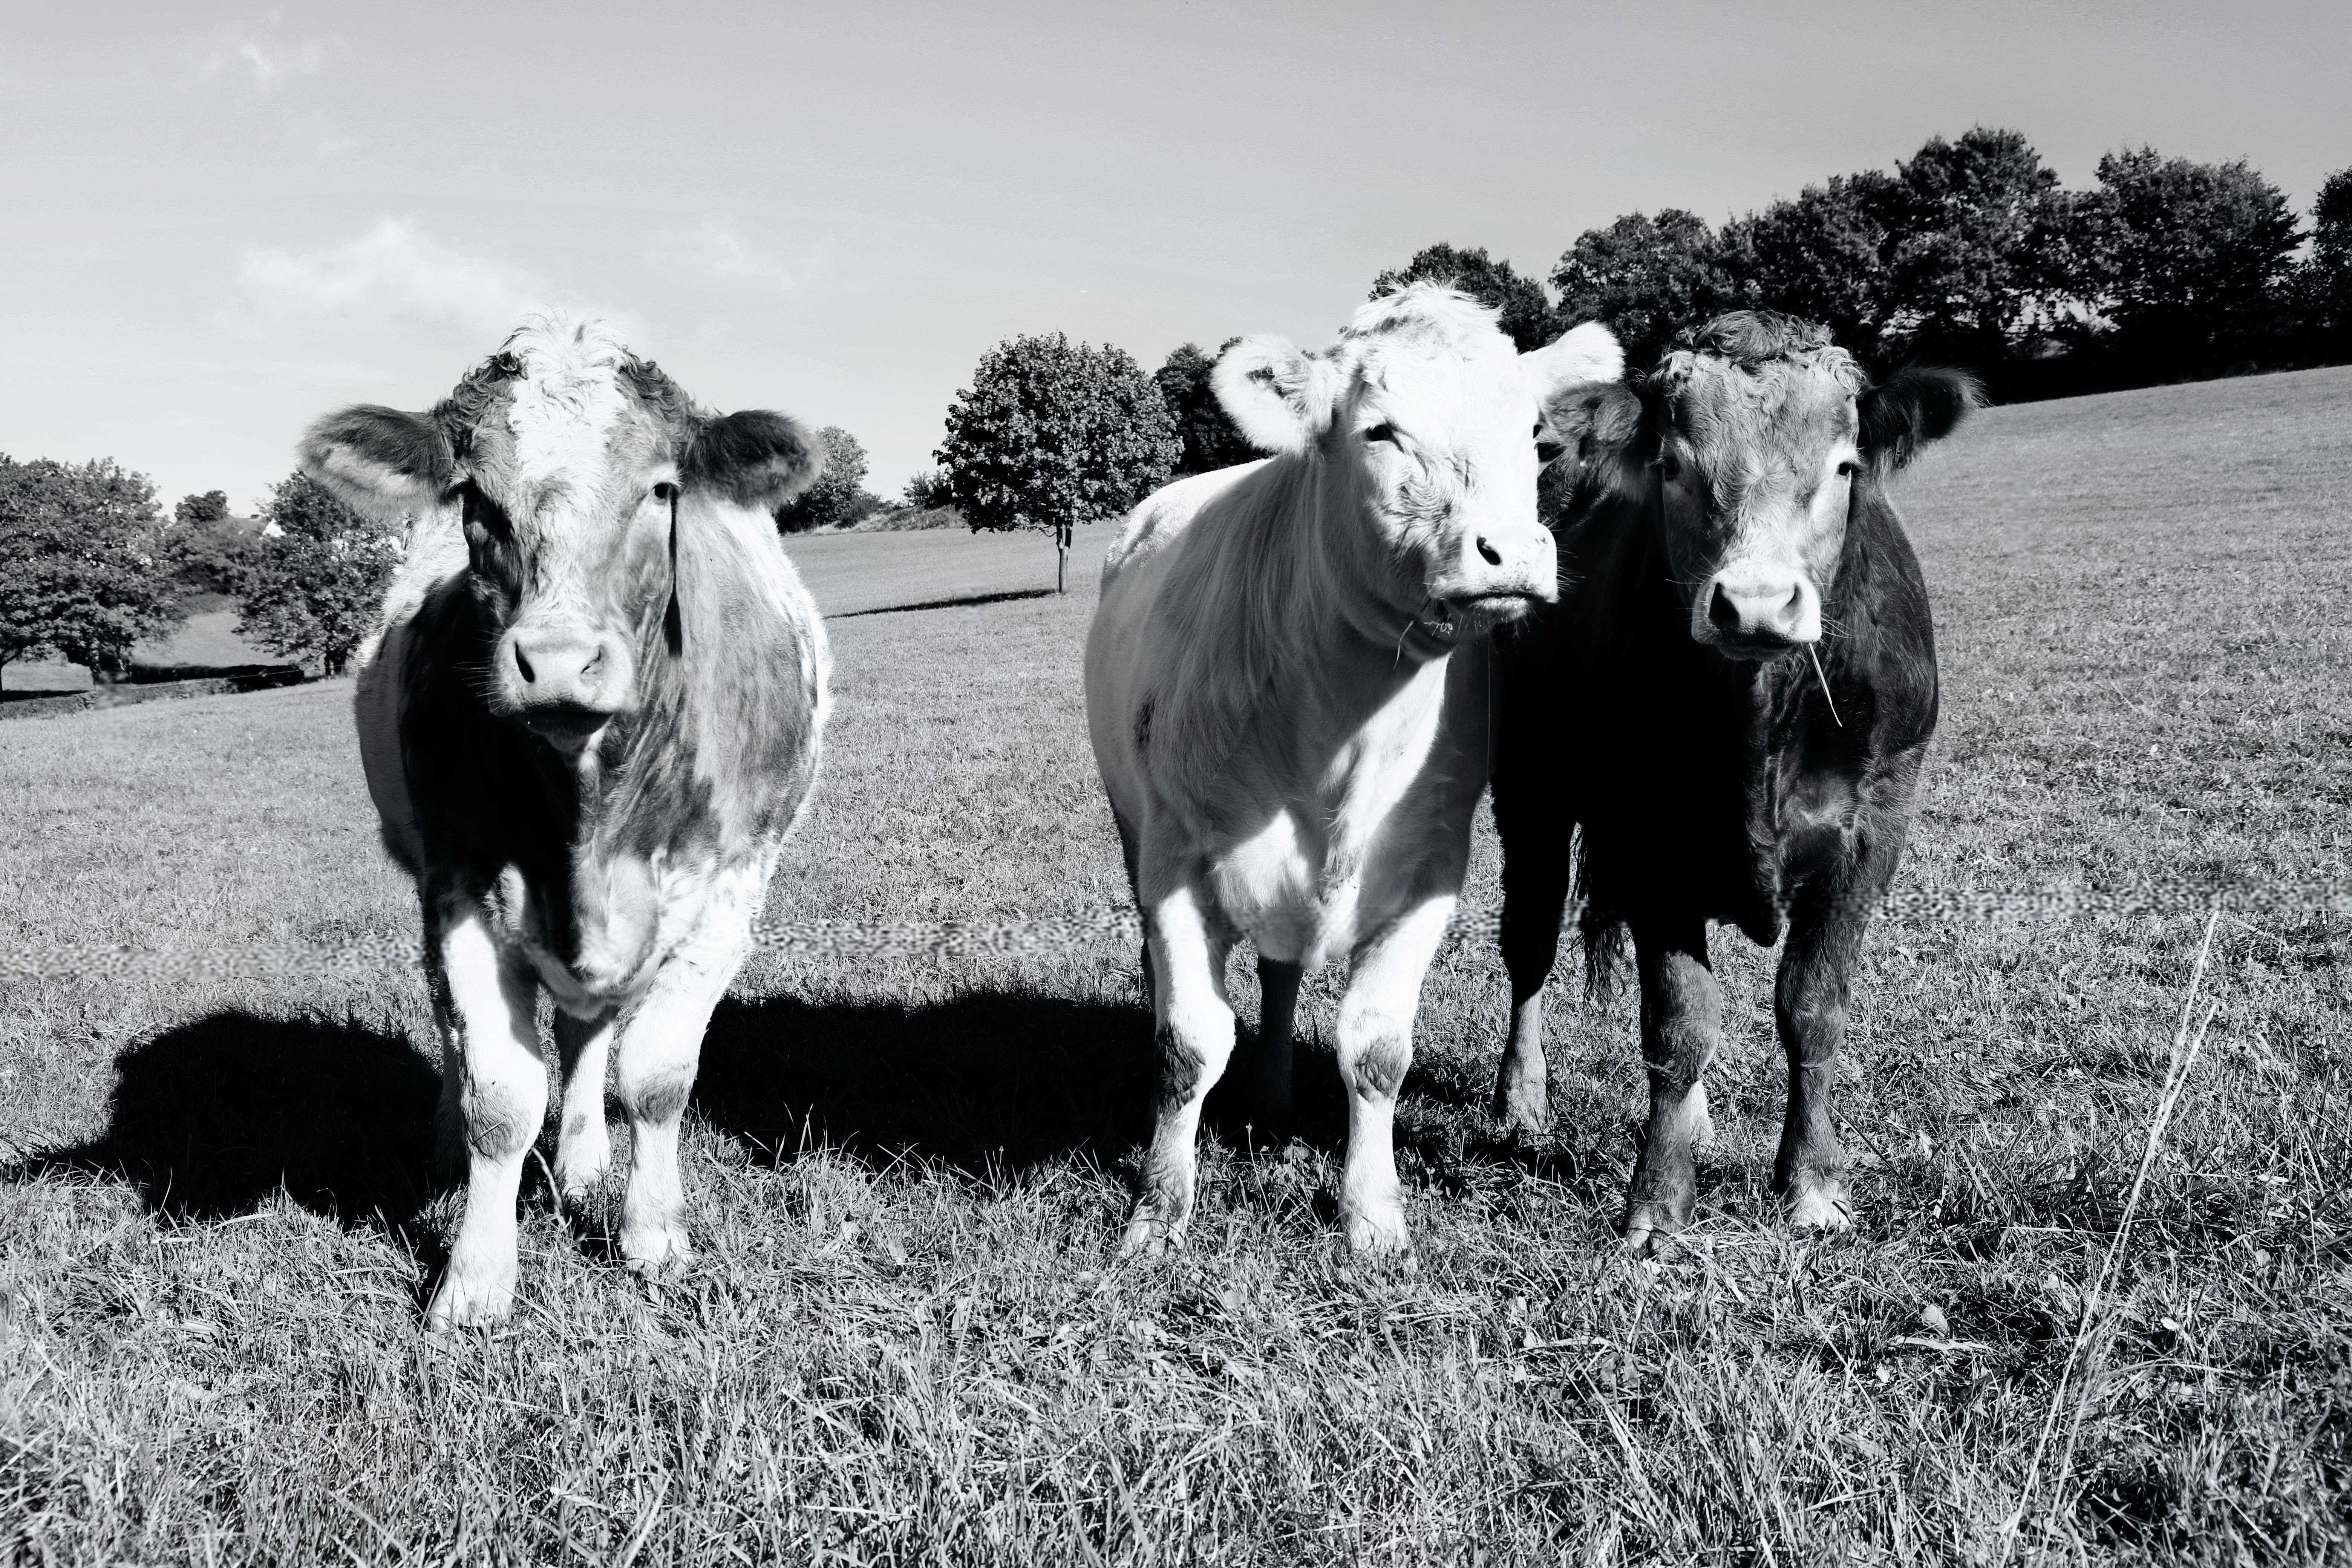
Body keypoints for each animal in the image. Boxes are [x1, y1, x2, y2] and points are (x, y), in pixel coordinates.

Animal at [299, 316, 830, 1328]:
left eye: (660, 488)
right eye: (475, 496)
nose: (553, 662)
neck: (590, 813)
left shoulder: (729, 889)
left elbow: (655, 1078)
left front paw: (652, 1237)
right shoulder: (460, 882)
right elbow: (501, 1095)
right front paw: (474, 1281)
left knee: (589, 1036)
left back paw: (584, 1163)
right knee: (457, 1031)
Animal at [1086, 285, 1621, 1254]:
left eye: (1534, 436)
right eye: (1380, 430)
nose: (1512, 551)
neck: (1342, 728)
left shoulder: (1431, 866)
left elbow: (1375, 1050)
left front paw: (1372, 1219)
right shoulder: (1177, 858)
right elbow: (1188, 1043)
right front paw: (1156, 1213)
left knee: (1281, 972)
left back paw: (1270, 1096)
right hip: (1129, 821)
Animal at [1489, 310, 1976, 1254]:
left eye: (1845, 465)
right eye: (1674, 466)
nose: (1753, 604)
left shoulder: (1875, 832)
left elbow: (1811, 1008)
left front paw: (1813, 1185)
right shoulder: (1642, 835)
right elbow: (1679, 1024)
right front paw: (1658, 1204)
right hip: (1526, 791)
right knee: (1528, 946)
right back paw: (1522, 1100)